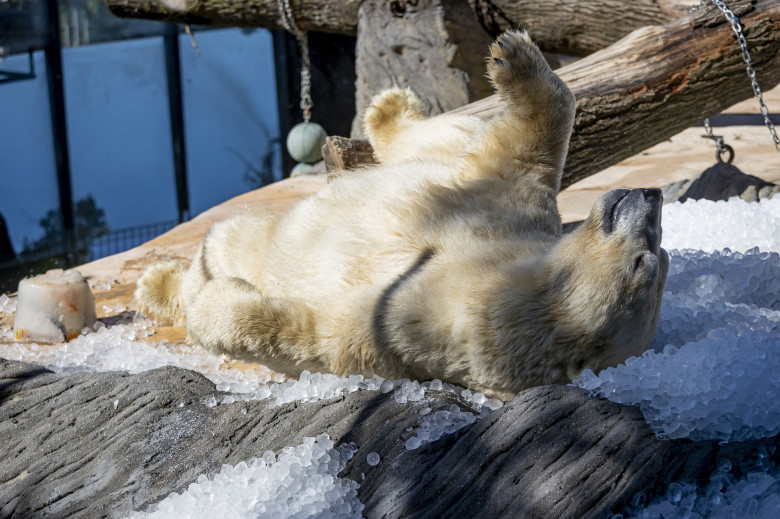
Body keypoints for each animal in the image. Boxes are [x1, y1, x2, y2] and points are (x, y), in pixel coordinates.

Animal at [133, 30, 664, 400]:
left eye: (647, 262)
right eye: (661, 255)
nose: (652, 196)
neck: (492, 269)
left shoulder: (419, 325)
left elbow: (316, 331)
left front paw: (218, 306)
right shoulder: (501, 204)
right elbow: (520, 146)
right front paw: (512, 55)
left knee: (231, 244)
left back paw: (165, 286)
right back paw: (390, 108)